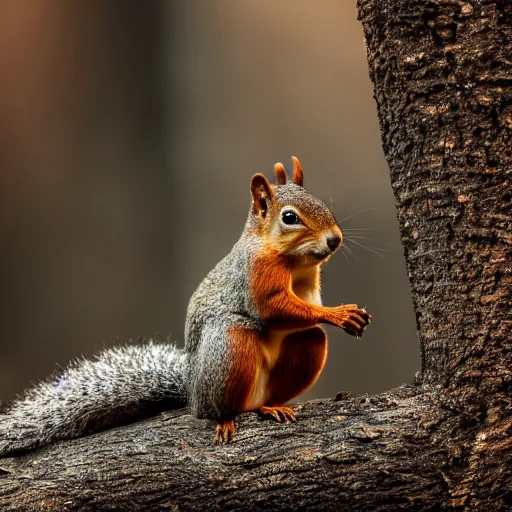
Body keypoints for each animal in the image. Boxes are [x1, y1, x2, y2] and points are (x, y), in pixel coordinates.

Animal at [0, 158, 368, 454]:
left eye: (323, 203)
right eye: (289, 217)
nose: (335, 239)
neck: (292, 261)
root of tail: (192, 392)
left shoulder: (308, 282)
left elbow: (307, 305)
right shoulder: (256, 275)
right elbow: (272, 308)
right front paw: (337, 313)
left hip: (303, 348)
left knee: (308, 339)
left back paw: (273, 405)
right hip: (230, 345)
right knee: (225, 405)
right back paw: (234, 416)